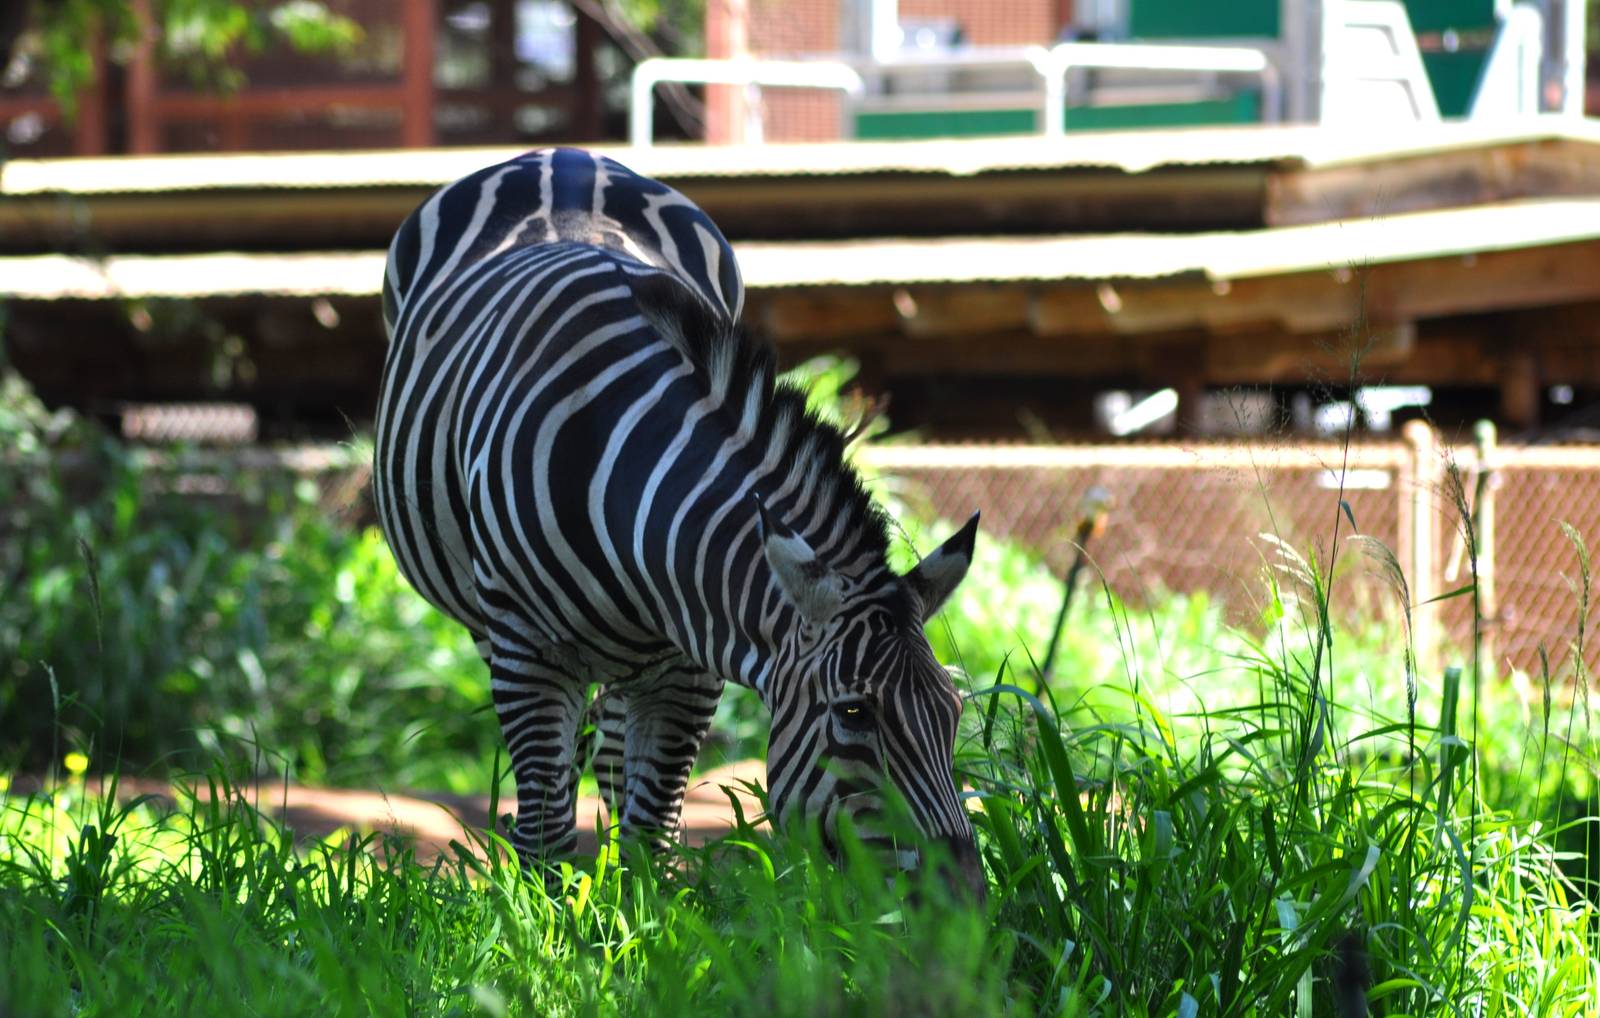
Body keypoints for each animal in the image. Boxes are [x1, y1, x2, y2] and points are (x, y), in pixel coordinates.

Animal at [373, 147, 984, 896]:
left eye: (954, 711)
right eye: (853, 712)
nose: (965, 903)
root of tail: (564, 155)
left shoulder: (690, 671)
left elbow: (649, 835)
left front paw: (635, 919)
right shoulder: (527, 651)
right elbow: (548, 833)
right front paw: (550, 924)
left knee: (610, 756)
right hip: (495, 631)